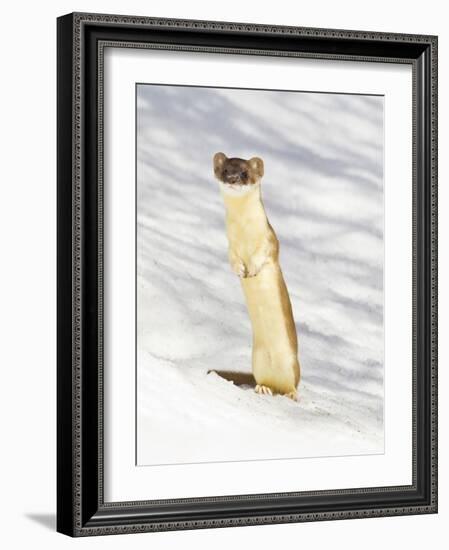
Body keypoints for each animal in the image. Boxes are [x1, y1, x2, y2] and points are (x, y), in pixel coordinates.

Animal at [212, 152, 300, 402]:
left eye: (244, 173)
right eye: (225, 170)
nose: (232, 179)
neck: (244, 233)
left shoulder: (270, 241)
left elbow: (264, 255)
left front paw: (251, 269)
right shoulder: (230, 245)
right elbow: (232, 258)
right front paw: (240, 270)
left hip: (292, 363)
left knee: (292, 384)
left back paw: (291, 394)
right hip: (257, 359)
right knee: (264, 381)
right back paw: (263, 388)